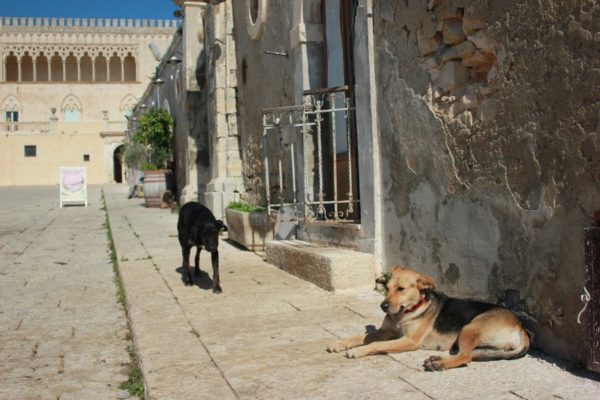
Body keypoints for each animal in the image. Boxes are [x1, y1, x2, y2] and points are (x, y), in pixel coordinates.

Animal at [328, 266, 528, 372]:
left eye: (401, 289)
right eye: (387, 287)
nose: (383, 306)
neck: (406, 311)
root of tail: (520, 326)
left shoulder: (409, 340)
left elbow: (376, 345)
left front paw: (359, 351)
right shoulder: (385, 331)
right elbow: (360, 337)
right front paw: (340, 344)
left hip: (470, 328)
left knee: (465, 357)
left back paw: (438, 364)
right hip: (483, 343)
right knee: (471, 355)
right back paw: (435, 358)